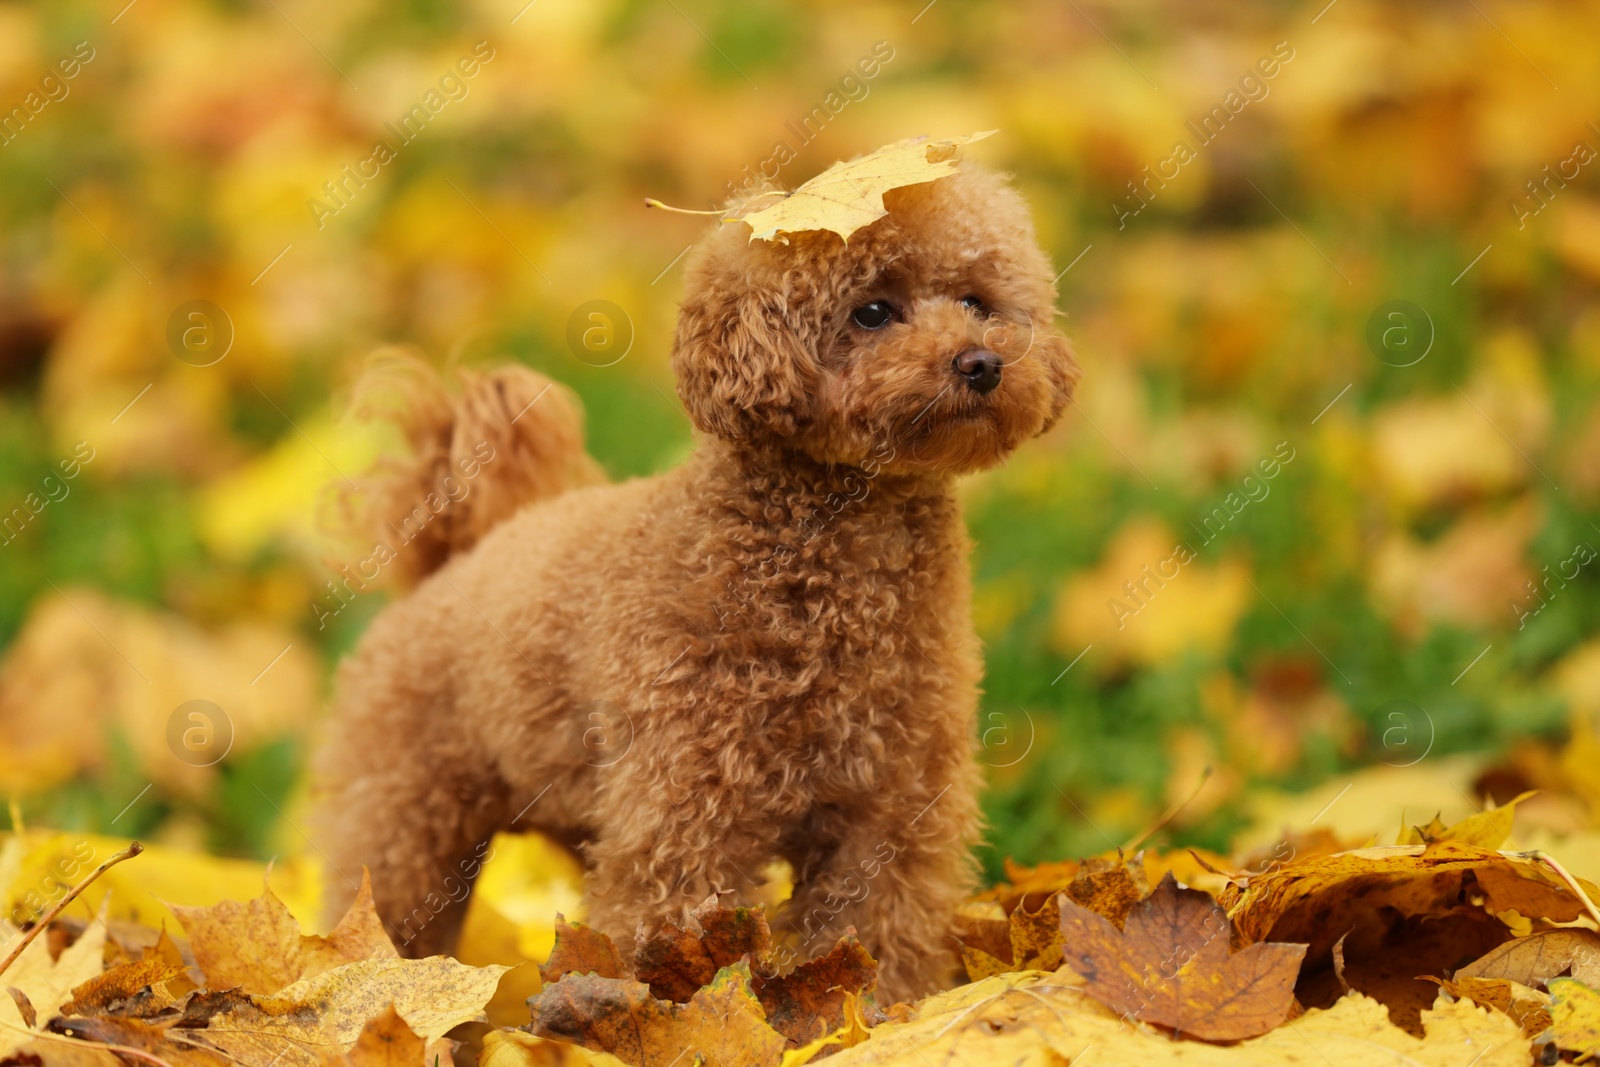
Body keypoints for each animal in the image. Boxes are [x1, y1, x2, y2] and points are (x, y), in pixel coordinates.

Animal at [312, 158, 1081, 1004]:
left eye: (979, 301)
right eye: (873, 312)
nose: (982, 362)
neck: (836, 581)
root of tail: (448, 560)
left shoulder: (893, 809)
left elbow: (877, 931)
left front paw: (876, 1014)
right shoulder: (686, 803)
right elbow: (673, 937)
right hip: (402, 814)